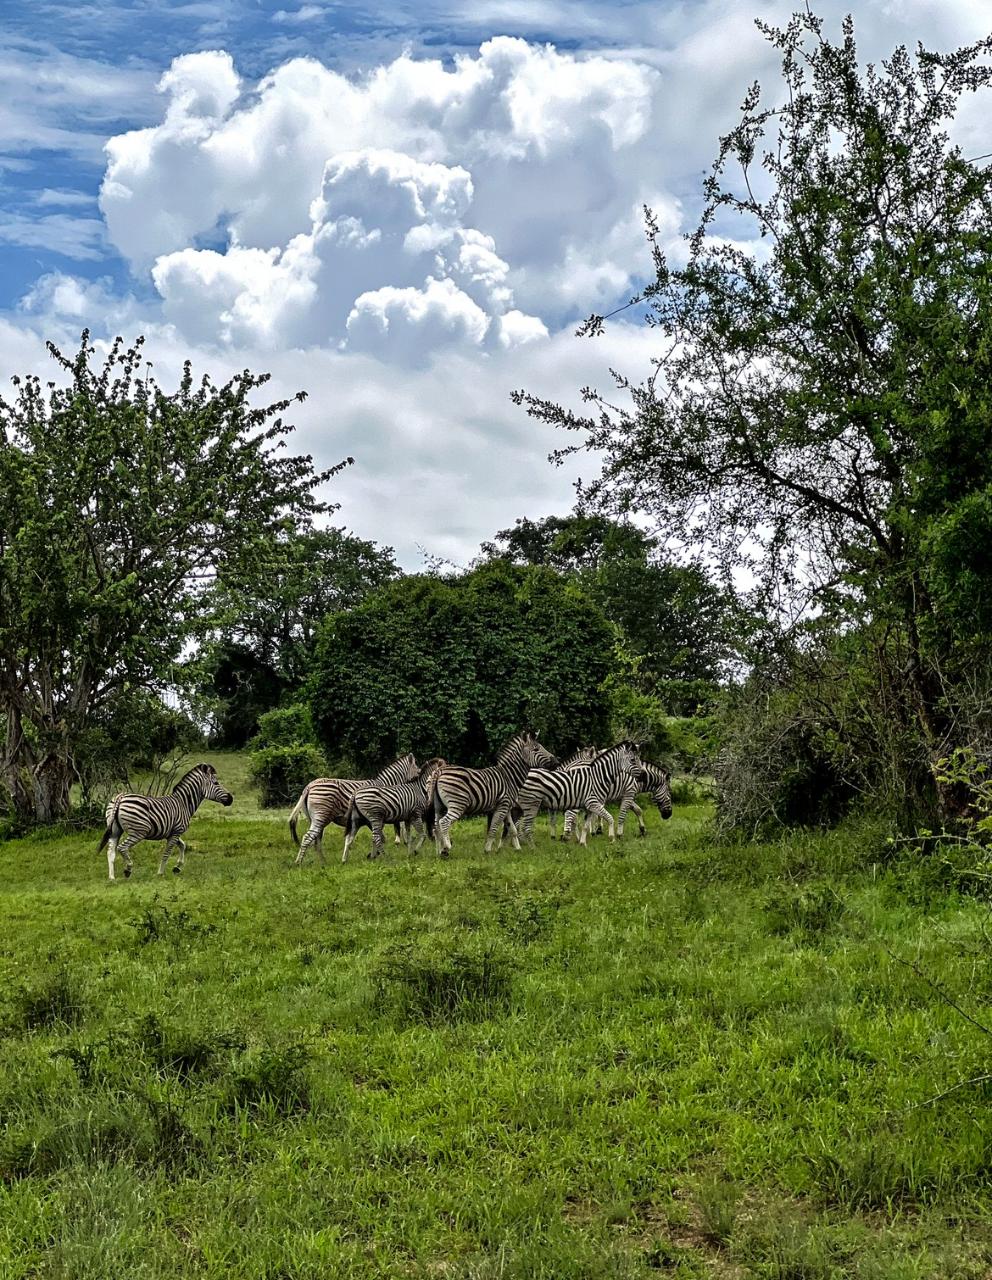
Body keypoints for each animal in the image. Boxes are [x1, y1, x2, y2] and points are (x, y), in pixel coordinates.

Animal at [98, 757, 234, 880]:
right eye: (216, 783)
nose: (231, 799)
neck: (184, 803)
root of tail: (120, 797)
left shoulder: (173, 832)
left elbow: (183, 846)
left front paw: (177, 867)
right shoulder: (176, 831)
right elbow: (167, 853)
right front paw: (160, 873)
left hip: (115, 830)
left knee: (111, 852)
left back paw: (112, 877)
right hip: (139, 831)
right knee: (122, 848)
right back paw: (128, 869)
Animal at [286, 752, 419, 865]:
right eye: (418, 772)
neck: (386, 786)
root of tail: (309, 786)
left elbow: (378, 837)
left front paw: (372, 855)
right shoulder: (376, 817)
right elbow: (380, 837)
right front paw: (374, 855)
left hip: (315, 819)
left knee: (316, 840)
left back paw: (323, 862)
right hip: (320, 816)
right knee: (308, 837)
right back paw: (299, 863)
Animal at [430, 737, 563, 855]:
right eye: (536, 749)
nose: (557, 762)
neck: (509, 777)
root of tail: (440, 771)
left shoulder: (507, 807)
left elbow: (512, 829)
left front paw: (517, 849)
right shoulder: (502, 805)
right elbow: (493, 828)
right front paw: (487, 850)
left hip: (438, 806)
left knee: (436, 827)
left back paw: (439, 852)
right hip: (457, 804)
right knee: (444, 822)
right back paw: (446, 847)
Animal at [512, 742, 645, 849]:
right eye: (633, 760)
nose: (643, 774)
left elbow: (574, 822)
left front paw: (580, 840)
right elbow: (610, 817)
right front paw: (611, 837)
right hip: (529, 803)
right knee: (521, 824)